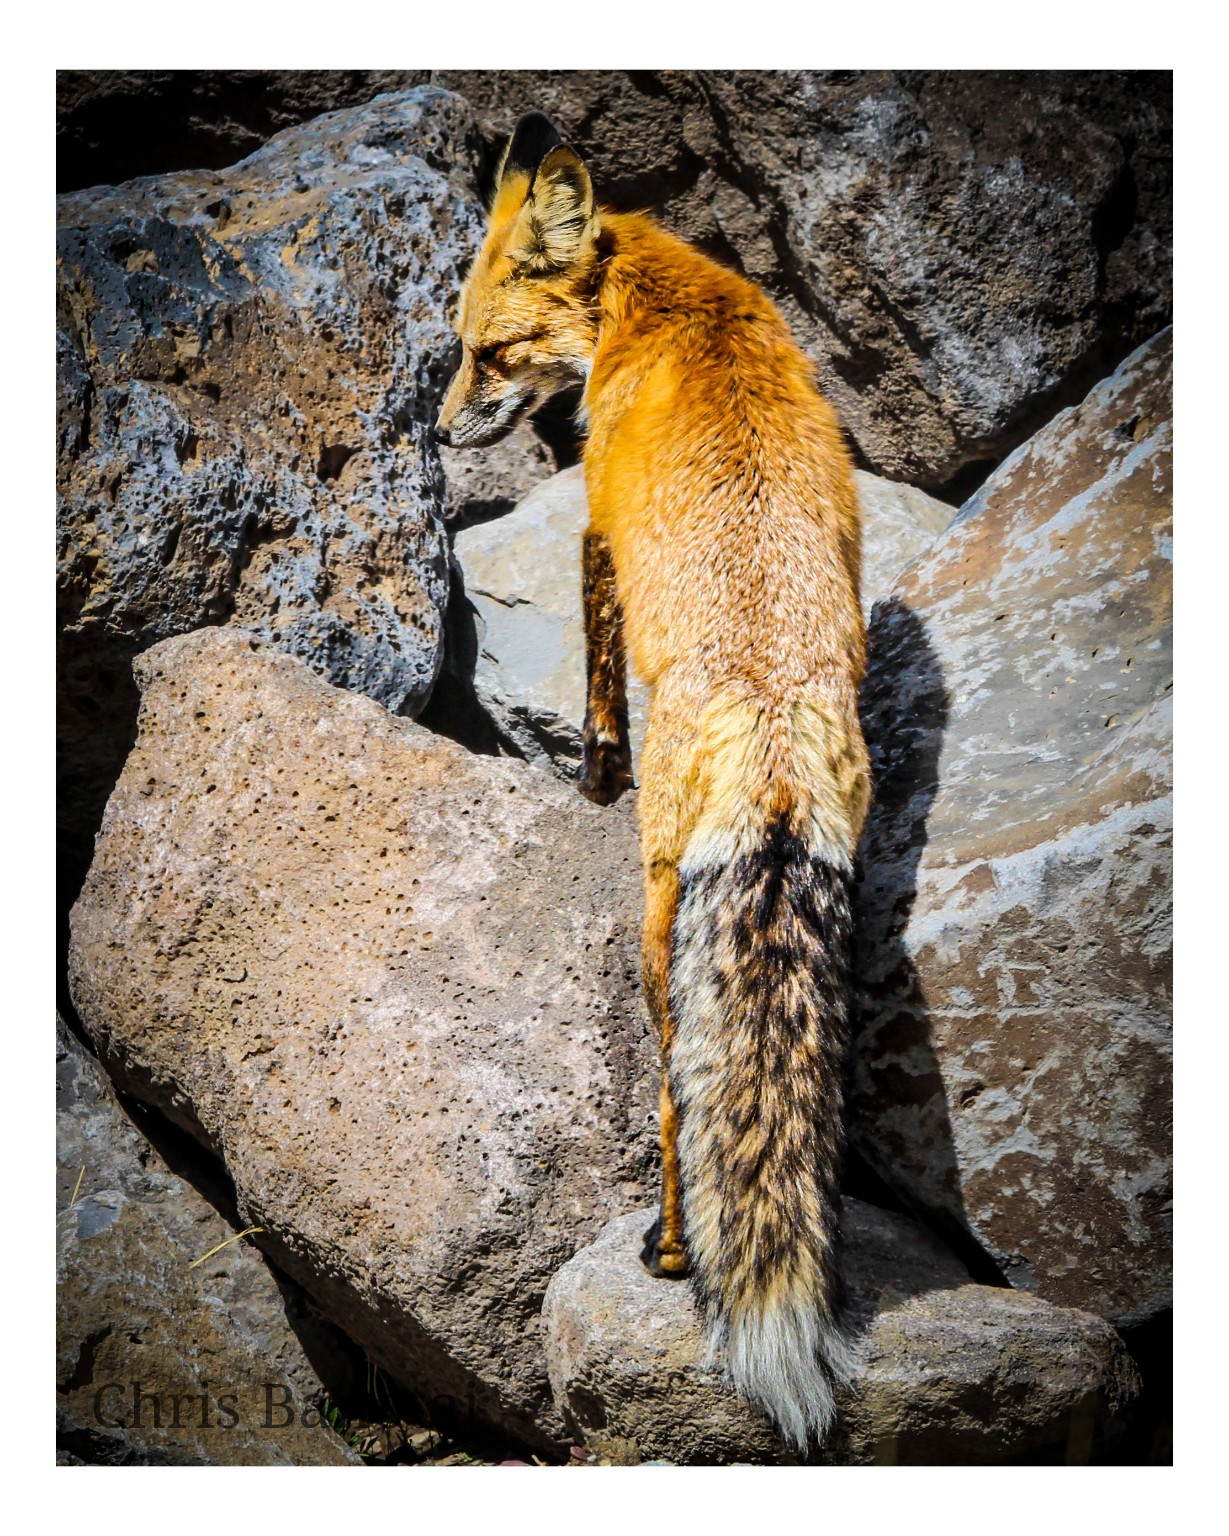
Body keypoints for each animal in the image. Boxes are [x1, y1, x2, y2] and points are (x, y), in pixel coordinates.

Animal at [436, 112, 871, 1452]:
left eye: (484, 352)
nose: (434, 433)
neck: (671, 306)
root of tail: (771, 759)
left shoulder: (591, 527)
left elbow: (592, 684)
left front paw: (589, 772)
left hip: (654, 933)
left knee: (684, 1109)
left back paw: (674, 1254)